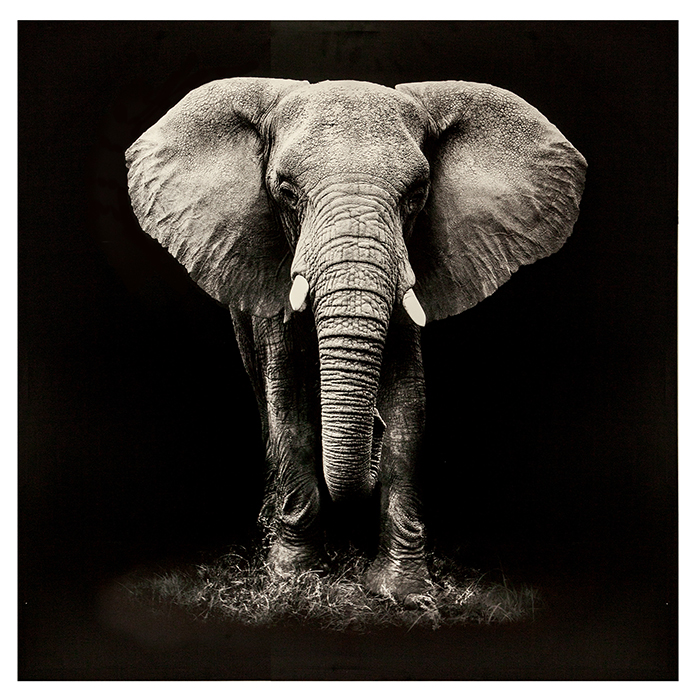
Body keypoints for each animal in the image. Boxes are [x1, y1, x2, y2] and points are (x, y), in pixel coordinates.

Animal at [125, 78, 586, 602]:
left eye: (417, 194)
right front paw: (294, 580)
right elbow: (288, 405)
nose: (373, 430)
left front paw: (403, 592)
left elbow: (409, 408)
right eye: (286, 191)